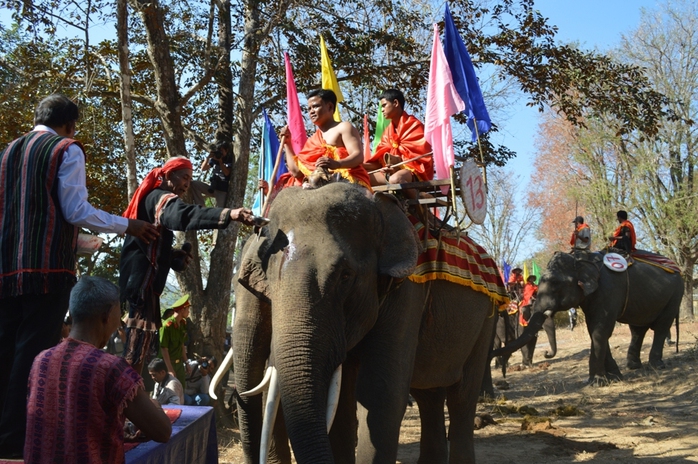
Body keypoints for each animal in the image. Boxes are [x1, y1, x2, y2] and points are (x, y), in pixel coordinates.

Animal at [209, 183, 498, 462]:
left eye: (345, 276)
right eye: (266, 279)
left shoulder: (407, 291)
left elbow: (380, 396)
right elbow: (342, 412)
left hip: (485, 320)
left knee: (462, 397)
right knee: (430, 395)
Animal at [492, 250, 684, 384]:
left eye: (555, 283)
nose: (546, 353)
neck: (581, 259)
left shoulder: (609, 289)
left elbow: (601, 329)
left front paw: (598, 381)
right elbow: (595, 329)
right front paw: (613, 377)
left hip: (676, 294)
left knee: (661, 325)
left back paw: (656, 365)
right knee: (638, 329)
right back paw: (634, 366)